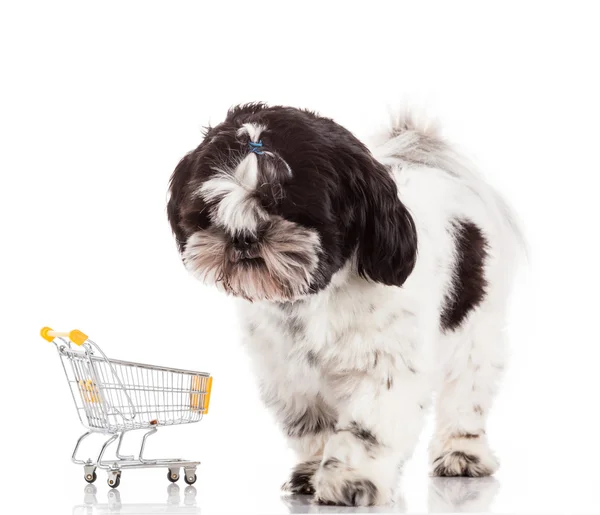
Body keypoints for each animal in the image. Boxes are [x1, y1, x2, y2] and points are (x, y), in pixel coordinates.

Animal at [166, 104, 524, 508]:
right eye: (211, 206)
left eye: (288, 204)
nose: (243, 236)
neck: (312, 298)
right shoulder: (288, 375)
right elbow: (313, 427)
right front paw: (312, 474)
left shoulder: (384, 366)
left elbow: (365, 428)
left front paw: (351, 479)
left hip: (477, 333)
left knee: (466, 396)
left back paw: (462, 454)